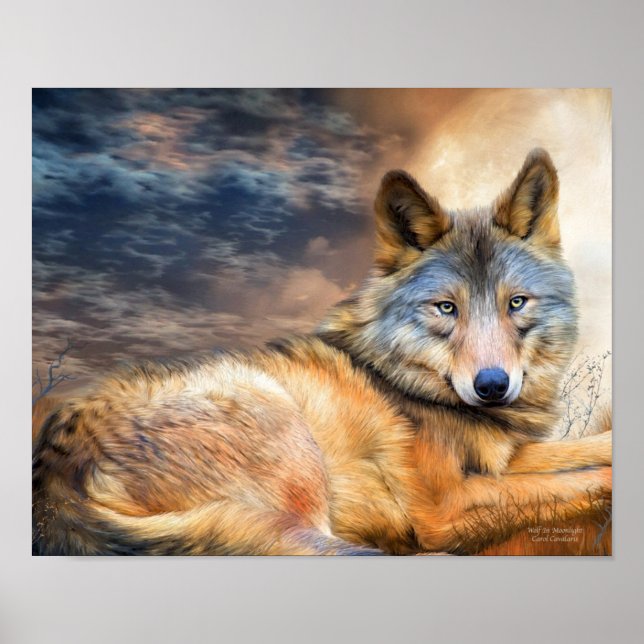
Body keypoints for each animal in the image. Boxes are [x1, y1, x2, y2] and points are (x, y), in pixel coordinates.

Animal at [32, 149, 612, 555]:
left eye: (516, 302)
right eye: (446, 308)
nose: (492, 386)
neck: (402, 381)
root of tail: (55, 478)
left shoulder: (503, 460)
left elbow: (583, 452)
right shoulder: (444, 508)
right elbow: (580, 480)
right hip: (285, 434)